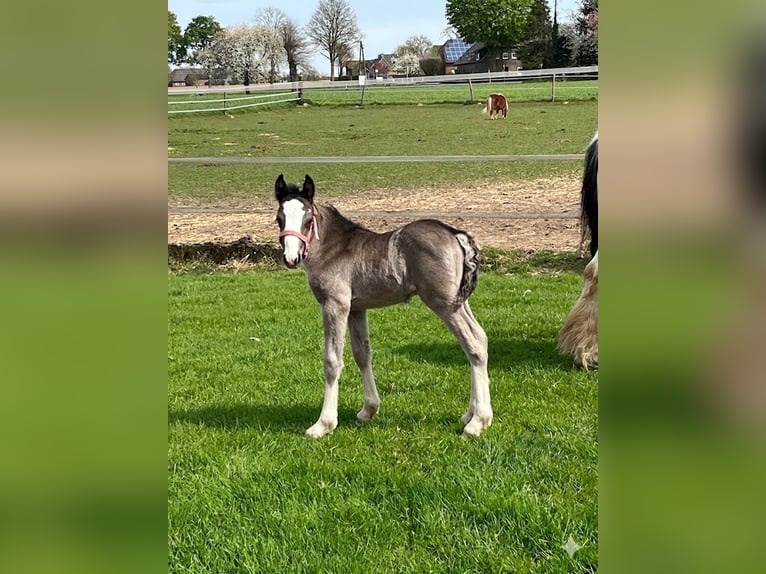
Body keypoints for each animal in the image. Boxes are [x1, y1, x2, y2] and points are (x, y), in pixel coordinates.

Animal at [274, 174, 493, 438]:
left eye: (308, 219)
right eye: (279, 219)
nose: (291, 258)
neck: (333, 248)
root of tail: (454, 233)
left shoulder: (334, 305)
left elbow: (332, 360)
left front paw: (323, 424)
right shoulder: (356, 309)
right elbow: (362, 354)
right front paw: (368, 410)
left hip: (443, 303)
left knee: (473, 346)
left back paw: (478, 422)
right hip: (460, 302)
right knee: (480, 338)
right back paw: (471, 414)